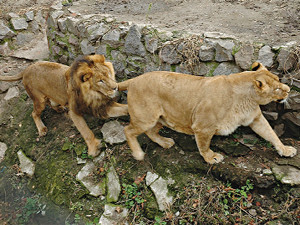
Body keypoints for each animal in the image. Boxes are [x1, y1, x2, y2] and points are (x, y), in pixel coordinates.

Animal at [119, 61, 298, 163]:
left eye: (279, 80)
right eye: (276, 89)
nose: (289, 90)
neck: (248, 99)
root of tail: (134, 79)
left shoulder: (256, 119)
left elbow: (271, 134)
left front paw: (285, 150)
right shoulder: (202, 126)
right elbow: (204, 145)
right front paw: (211, 158)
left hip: (160, 118)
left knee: (150, 132)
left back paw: (164, 142)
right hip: (146, 117)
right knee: (128, 130)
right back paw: (138, 154)